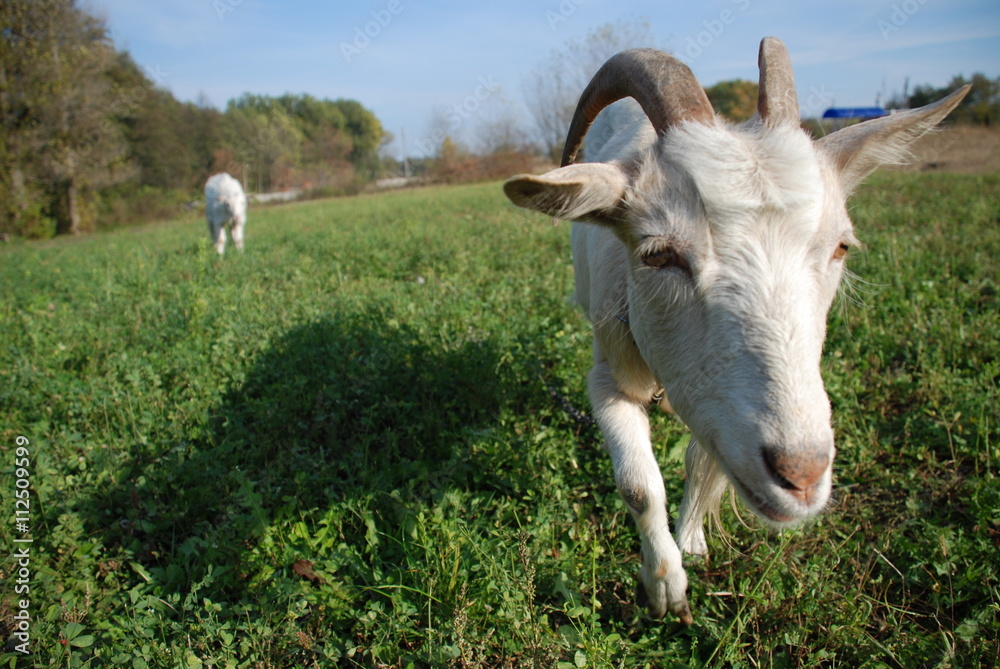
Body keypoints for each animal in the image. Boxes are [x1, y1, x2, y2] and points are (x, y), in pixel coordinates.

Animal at [504, 37, 968, 623]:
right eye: (658, 254)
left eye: (840, 246)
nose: (802, 474)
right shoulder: (609, 372)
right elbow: (638, 486)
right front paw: (665, 588)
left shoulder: (722, 411)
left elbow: (703, 459)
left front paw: (693, 541)